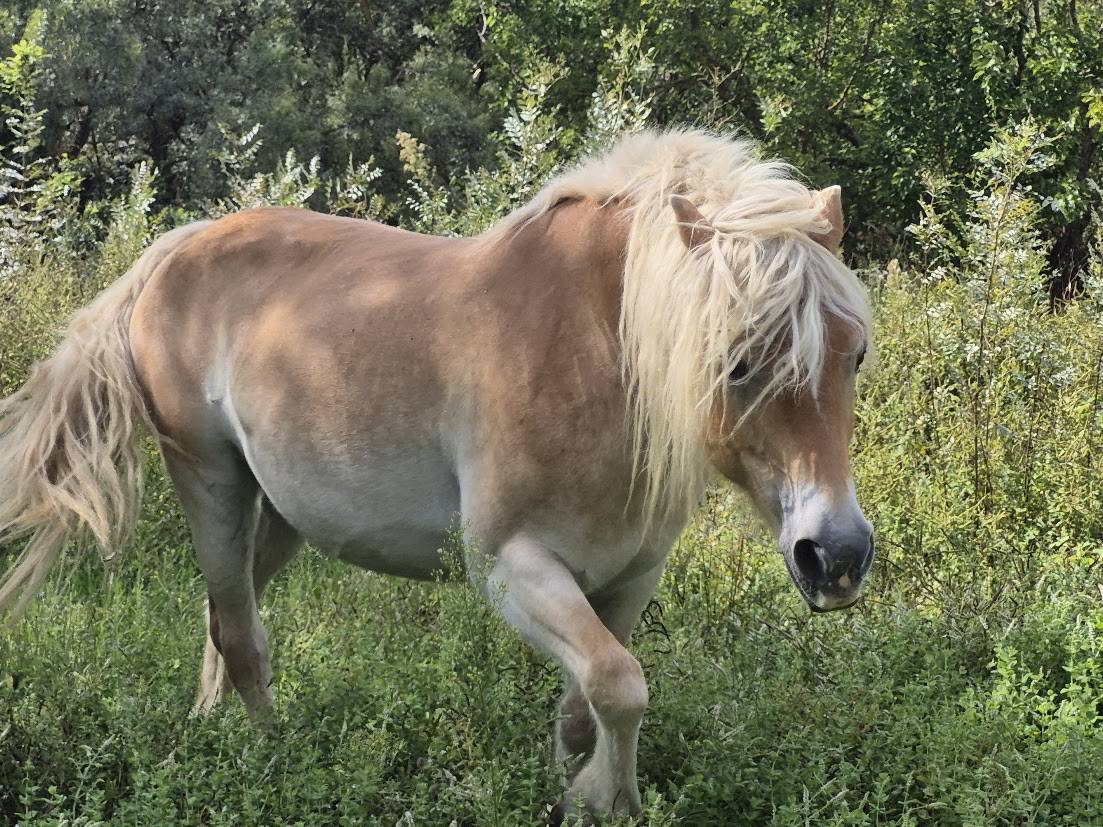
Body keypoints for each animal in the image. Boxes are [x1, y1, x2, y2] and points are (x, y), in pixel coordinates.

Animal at [0, 129, 874, 819]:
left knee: (225, 619)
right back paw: (273, 758)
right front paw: (608, 799)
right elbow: (620, 683)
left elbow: (588, 702)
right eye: (736, 362)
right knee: (240, 634)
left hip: (275, 514)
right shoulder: (511, 567)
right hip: (209, 480)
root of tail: (183, 245)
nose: (834, 555)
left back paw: (210, 730)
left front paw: (572, 789)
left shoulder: (631, 575)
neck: (593, 352)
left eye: (854, 354)